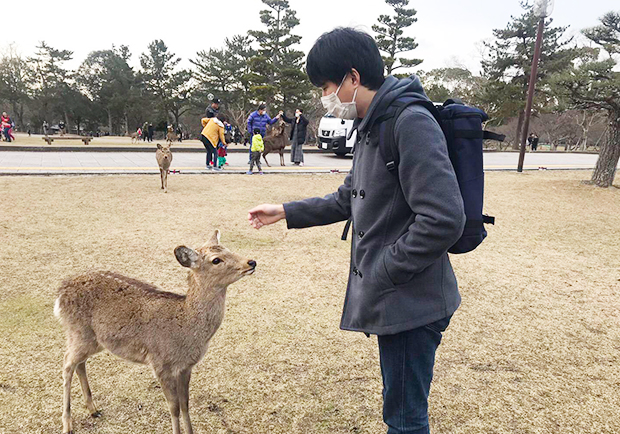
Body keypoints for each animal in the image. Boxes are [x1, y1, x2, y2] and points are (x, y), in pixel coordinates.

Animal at [54, 231, 256, 434]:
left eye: (229, 249)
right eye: (216, 260)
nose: (251, 262)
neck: (188, 330)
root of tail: (60, 294)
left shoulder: (186, 367)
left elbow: (185, 405)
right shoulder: (160, 364)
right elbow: (174, 407)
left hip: (94, 341)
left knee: (80, 363)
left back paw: (93, 410)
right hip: (79, 333)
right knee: (67, 363)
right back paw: (67, 424)